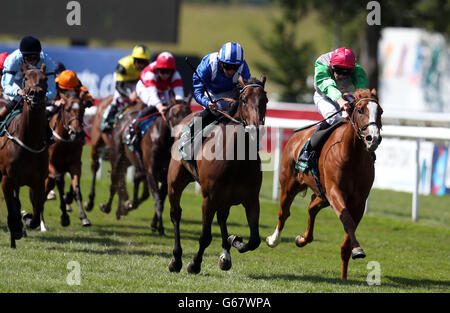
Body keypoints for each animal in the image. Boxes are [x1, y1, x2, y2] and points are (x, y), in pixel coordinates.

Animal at [0, 62, 49, 246]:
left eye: (45, 79)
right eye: (26, 78)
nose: (36, 94)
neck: (28, 141)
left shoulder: (39, 181)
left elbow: (36, 212)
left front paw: (27, 220)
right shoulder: (7, 179)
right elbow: (11, 207)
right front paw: (16, 227)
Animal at [43, 89, 91, 228]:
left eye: (83, 110)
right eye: (68, 109)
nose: (77, 133)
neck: (64, 141)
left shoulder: (75, 165)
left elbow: (77, 189)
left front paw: (84, 217)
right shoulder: (51, 166)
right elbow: (60, 183)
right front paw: (64, 217)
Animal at [101, 96, 192, 225]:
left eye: (189, 113)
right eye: (175, 114)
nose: (184, 131)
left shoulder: (166, 176)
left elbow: (160, 199)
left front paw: (155, 224)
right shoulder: (151, 171)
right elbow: (157, 198)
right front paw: (159, 226)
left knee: (132, 180)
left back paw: (123, 208)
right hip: (117, 158)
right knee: (115, 180)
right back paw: (108, 207)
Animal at [168, 75, 268, 272]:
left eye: (265, 100)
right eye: (244, 100)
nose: (256, 128)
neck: (237, 160)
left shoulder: (251, 200)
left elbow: (254, 240)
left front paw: (234, 240)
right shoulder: (209, 199)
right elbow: (205, 237)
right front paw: (194, 264)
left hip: (225, 198)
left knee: (222, 217)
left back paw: (226, 255)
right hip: (175, 182)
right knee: (176, 214)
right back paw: (176, 259)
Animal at [268, 88, 384, 278]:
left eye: (380, 111)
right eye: (360, 110)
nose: (372, 138)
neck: (352, 156)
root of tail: (296, 136)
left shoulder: (358, 201)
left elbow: (349, 230)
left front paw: (345, 273)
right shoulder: (336, 192)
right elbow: (347, 220)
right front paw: (358, 250)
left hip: (322, 194)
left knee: (311, 207)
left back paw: (302, 239)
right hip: (290, 185)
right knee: (283, 213)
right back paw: (273, 240)